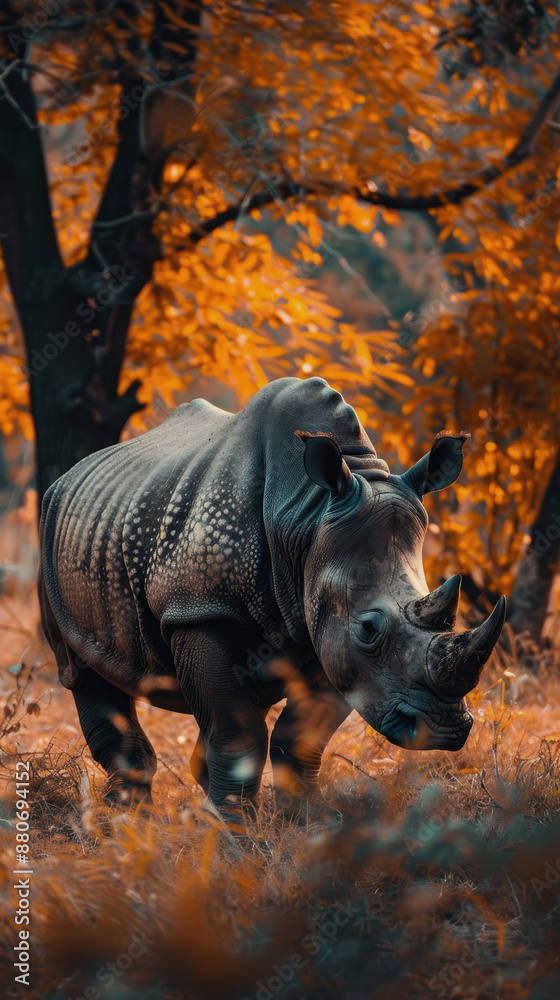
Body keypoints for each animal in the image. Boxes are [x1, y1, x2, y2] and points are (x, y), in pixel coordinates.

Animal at [39, 377, 505, 828]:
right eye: (369, 629)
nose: (442, 730)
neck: (307, 517)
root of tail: (69, 476)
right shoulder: (200, 609)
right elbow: (236, 730)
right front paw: (235, 831)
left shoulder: (326, 632)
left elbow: (299, 734)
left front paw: (314, 822)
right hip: (53, 534)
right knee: (81, 671)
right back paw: (126, 820)